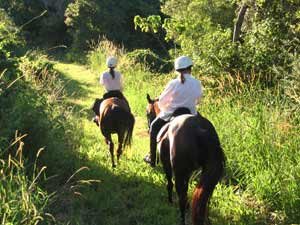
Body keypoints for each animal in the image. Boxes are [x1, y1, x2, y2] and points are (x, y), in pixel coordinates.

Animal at [145, 93, 225, 225]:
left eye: (147, 112)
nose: (148, 128)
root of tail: (200, 131)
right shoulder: (188, 172)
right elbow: (187, 188)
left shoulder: (168, 166)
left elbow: (170, 183)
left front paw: (170, 200)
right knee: (204, 202)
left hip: (179, 172)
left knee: (181, 197)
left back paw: (182, 219)